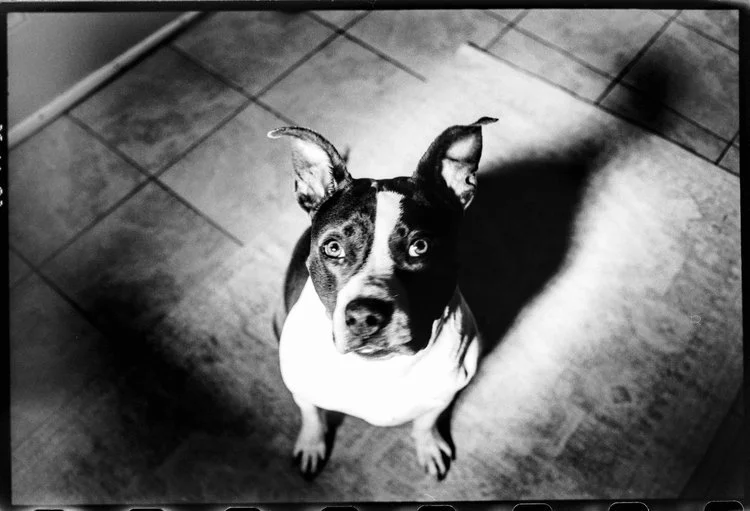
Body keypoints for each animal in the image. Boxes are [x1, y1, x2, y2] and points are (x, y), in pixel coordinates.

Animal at [269, 117, 496, 480]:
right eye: (333, 247)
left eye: (420, 246)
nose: (365, 316)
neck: (380, 369)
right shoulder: (302, 390)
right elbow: (312, 416)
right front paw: (312, 444)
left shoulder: (443, 395)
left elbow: (425, 422)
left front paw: (429, 445)